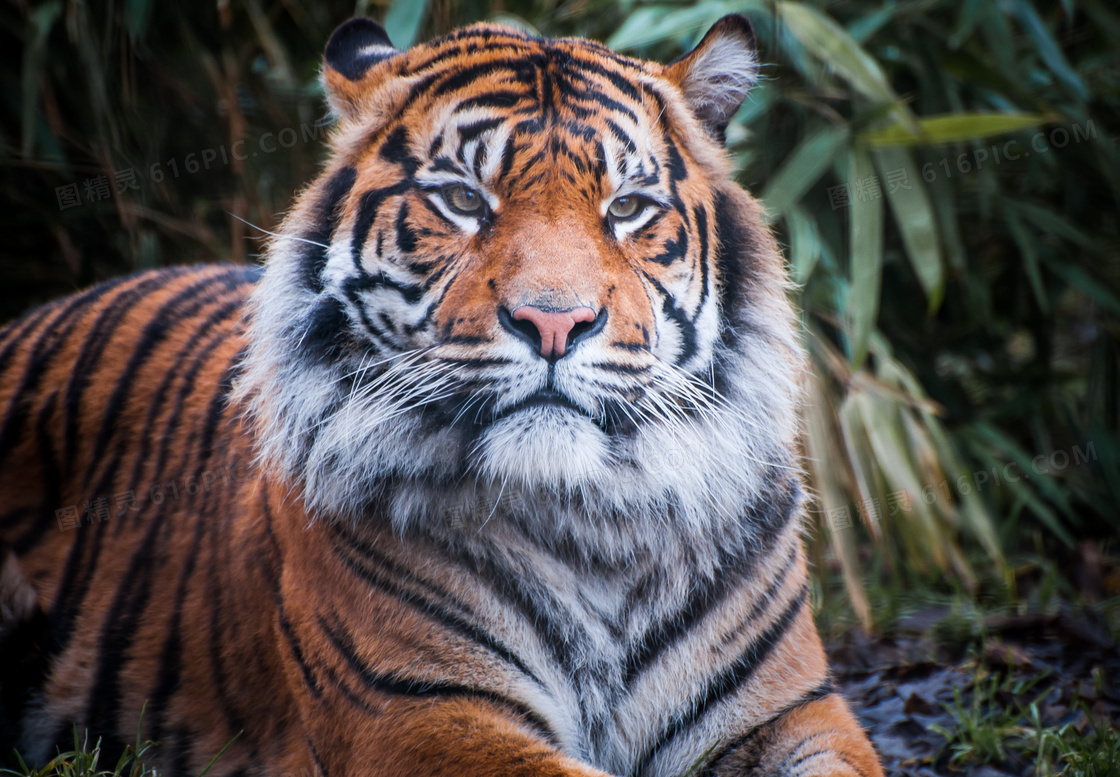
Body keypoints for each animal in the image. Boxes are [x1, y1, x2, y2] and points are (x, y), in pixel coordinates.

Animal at [0, 13, 887, 777]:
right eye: (463, 199)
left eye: (628, 208)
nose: (555, 321)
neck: (594, 528)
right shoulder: (418, 712)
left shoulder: (791, 709)